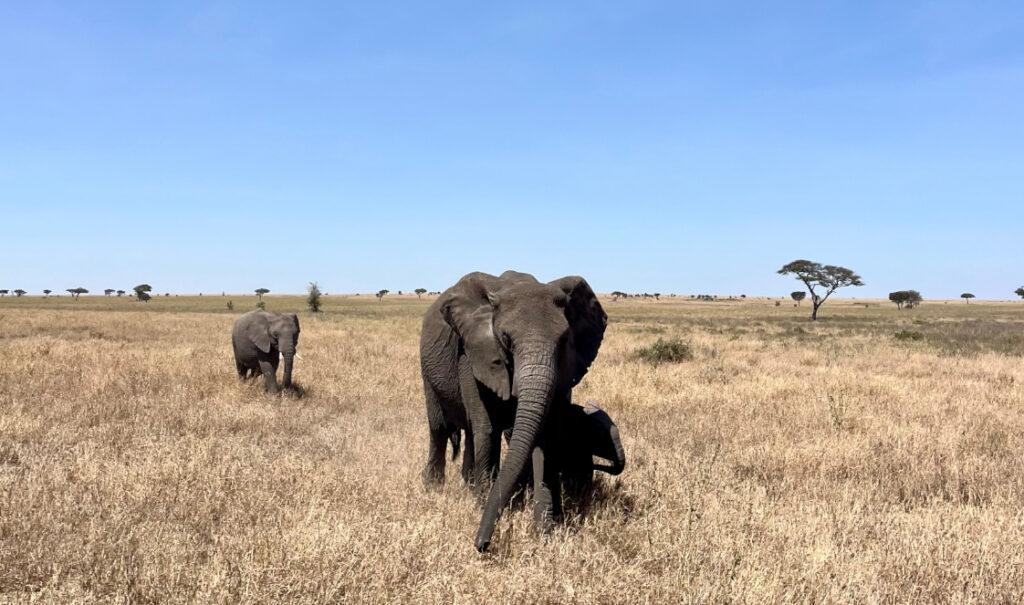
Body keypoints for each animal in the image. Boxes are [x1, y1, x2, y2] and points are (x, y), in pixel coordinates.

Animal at [420, 270, 607, 551]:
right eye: (506, 339)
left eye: (564, 340)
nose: (482, 544)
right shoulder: (472, 354)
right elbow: (487, 427)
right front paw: (482, 505)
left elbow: (546, 437)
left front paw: (545, 530)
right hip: (428, 372)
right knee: (441, 429)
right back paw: (434, 487)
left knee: (471, 434)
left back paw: (467, 485)